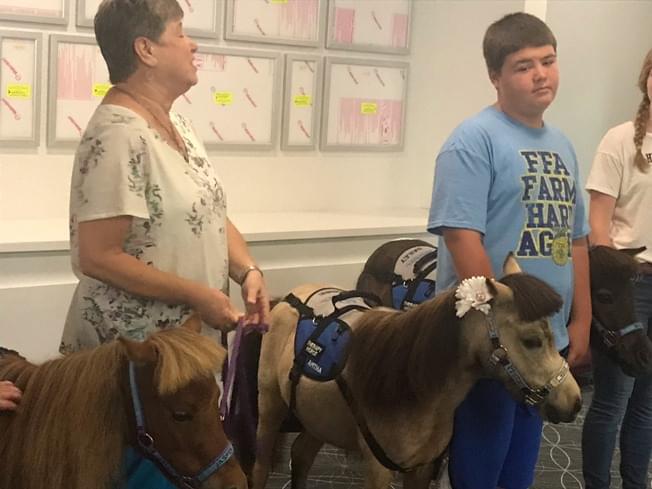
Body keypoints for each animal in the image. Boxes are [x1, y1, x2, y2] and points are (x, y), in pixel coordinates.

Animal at [253, 255, 580, 488]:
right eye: (531, 340)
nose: (574, 402)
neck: (414, 388)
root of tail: (289, 299)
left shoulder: (421, 469)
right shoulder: (379, 470)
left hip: (318, 420)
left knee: (301, 456)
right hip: (270, 410)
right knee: (260, 467)